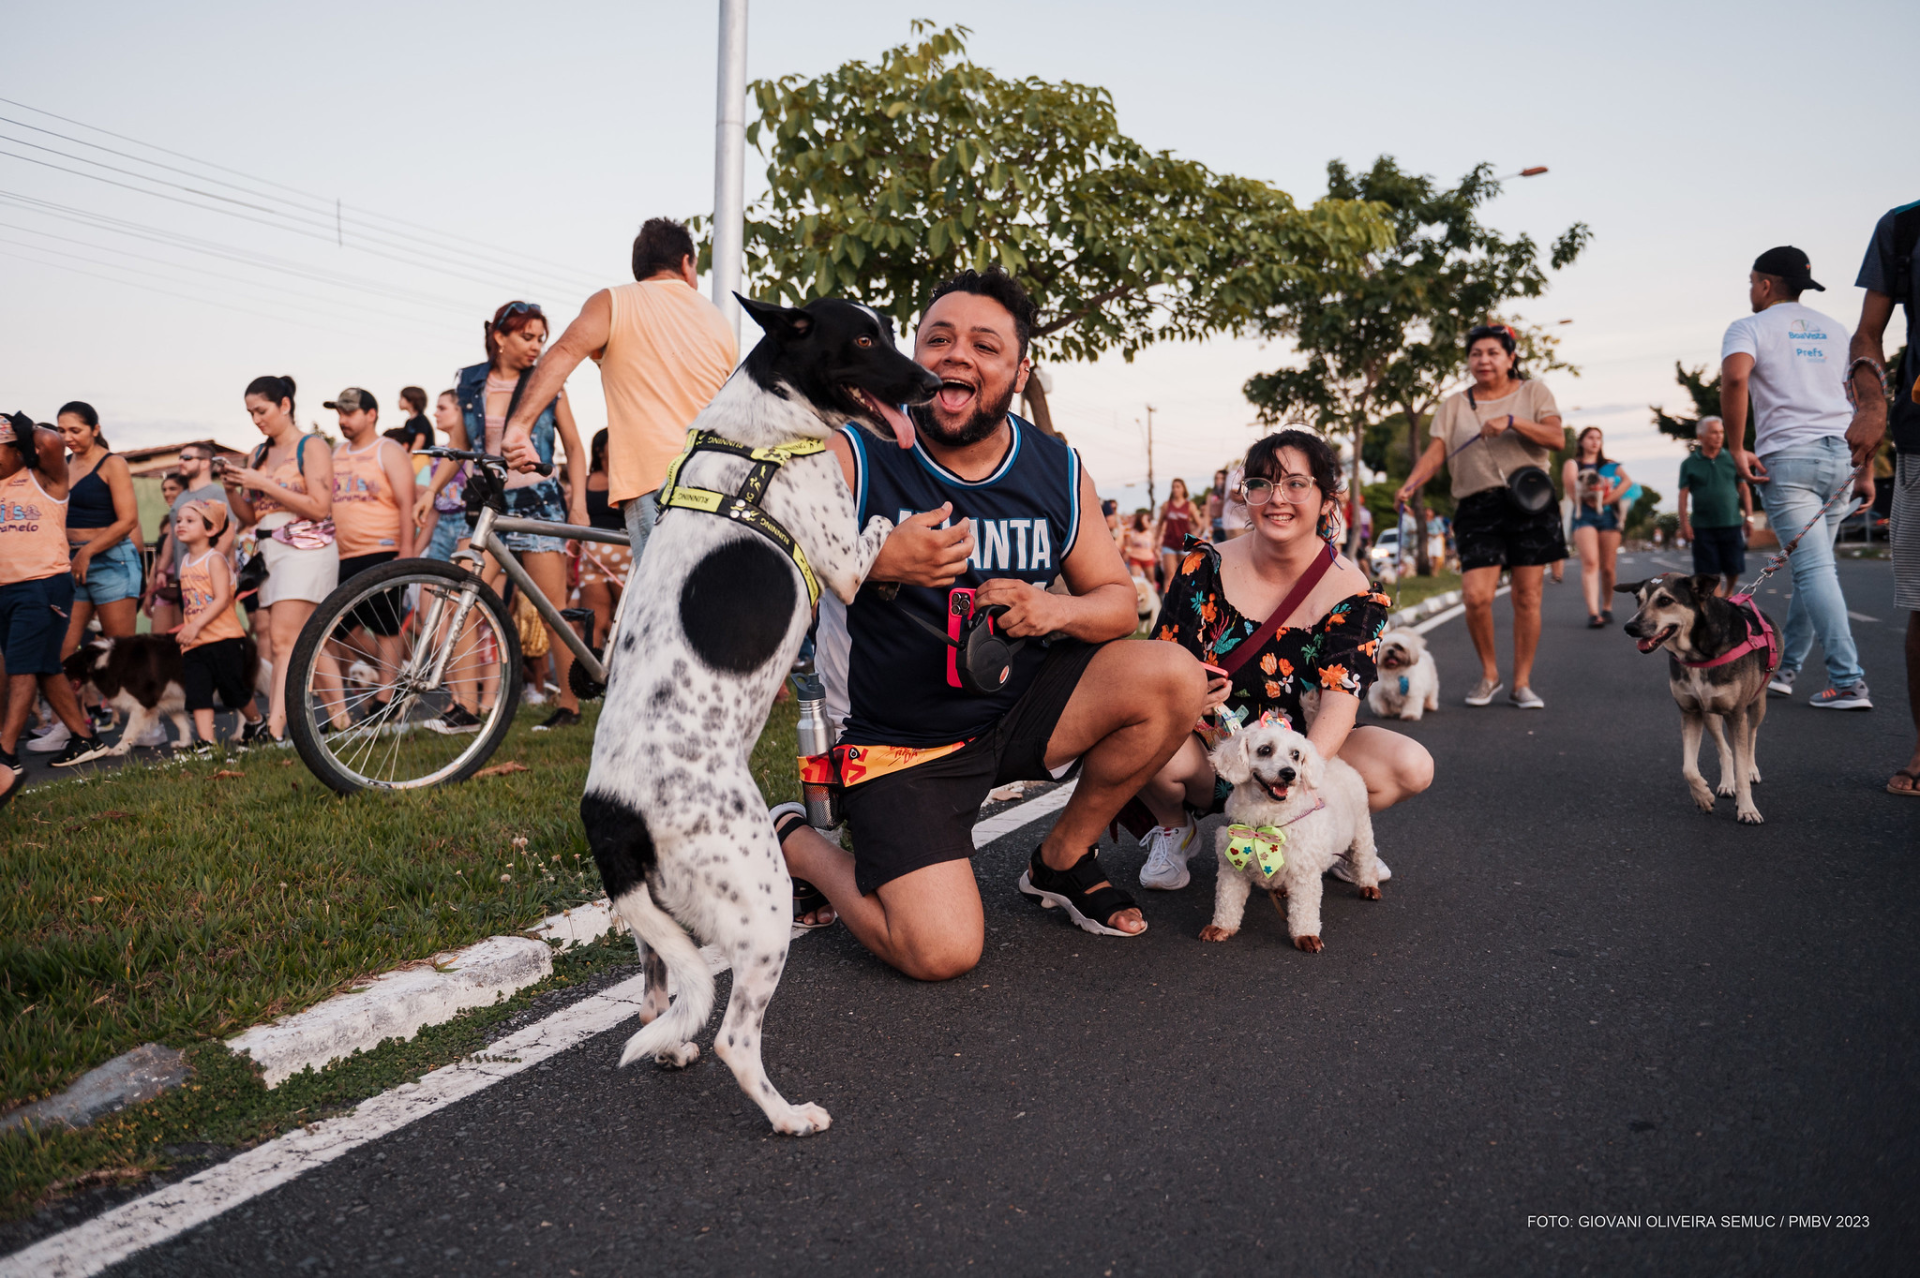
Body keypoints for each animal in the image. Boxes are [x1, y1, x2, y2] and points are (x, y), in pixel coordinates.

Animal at [572, 293, 940, 1128]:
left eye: (892, 331)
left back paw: (673, 1048)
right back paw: (787, 1115)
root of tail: (611, 810)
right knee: (736, 1038)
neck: (761, 429)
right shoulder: (846, 560)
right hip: (763, 907)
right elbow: (884, 528)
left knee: (660, 1001)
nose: (933, 386)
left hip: (665, 916)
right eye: (864, 340)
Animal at [1198, 717, 1382, 944]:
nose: (1289, 773)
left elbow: (1304, 910)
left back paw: (1369, 885)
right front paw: (1220, 927)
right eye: (1265, 749)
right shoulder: (1232, 869)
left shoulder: (1305, 873)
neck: (1264, 821)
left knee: (1364, 859)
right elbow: (1227, 901)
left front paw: (1306, 935)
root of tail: (1337, 761)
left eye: (1296, 754)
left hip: (1362, 828)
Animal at [1612, 571, 1774, 821]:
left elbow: (1742, 759)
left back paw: (1751, 770)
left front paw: (1747, 808)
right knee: (1725, 749)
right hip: (1710, 714)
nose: (1630, 627)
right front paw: (1703, 797)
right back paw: (1727, 783)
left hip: (1757, 703)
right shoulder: (1691, 711)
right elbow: (1688, 768)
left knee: (1751, 737)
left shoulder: (1736, 714)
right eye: (1638, 599)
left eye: (1665, 601)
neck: (1698, 653)